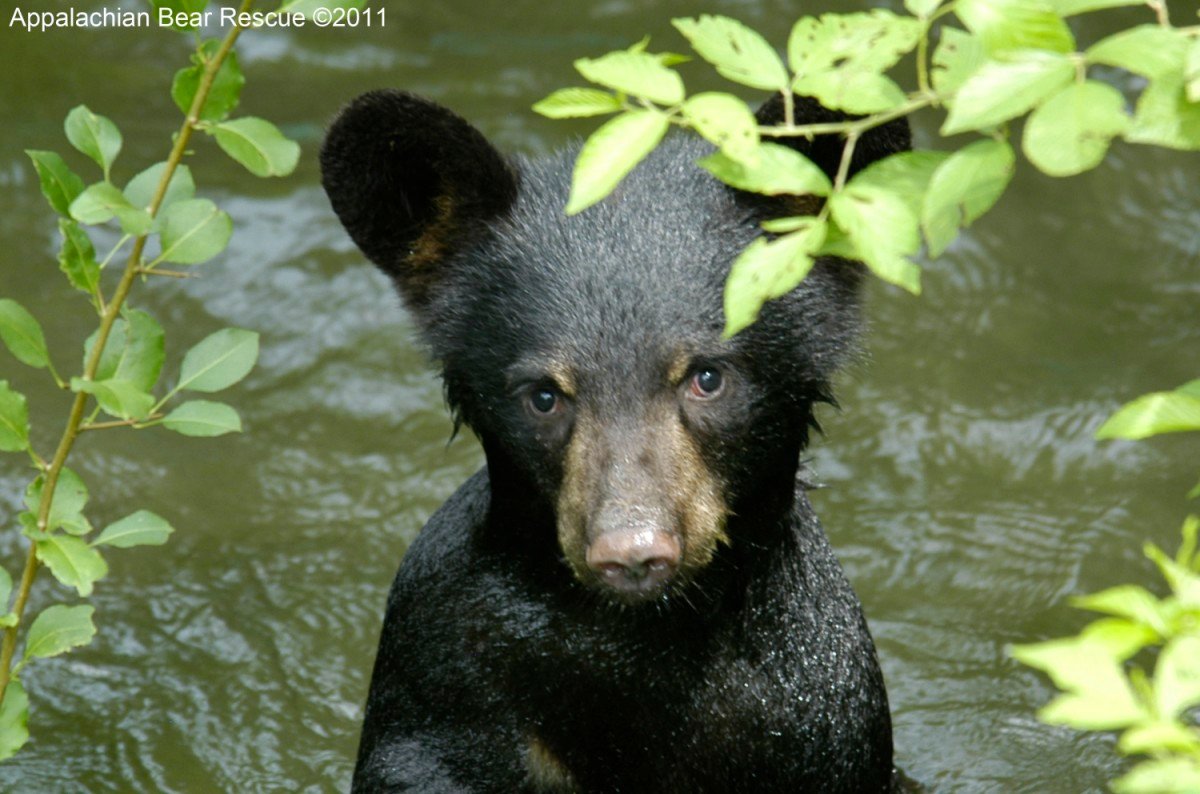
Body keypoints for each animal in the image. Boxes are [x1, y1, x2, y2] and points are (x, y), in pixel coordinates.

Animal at [320, 89, 910, 792]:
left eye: (706, 377)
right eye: (544, 394)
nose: (631, 550)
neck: (652, 635)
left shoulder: (815, 716)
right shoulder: (443, 688)